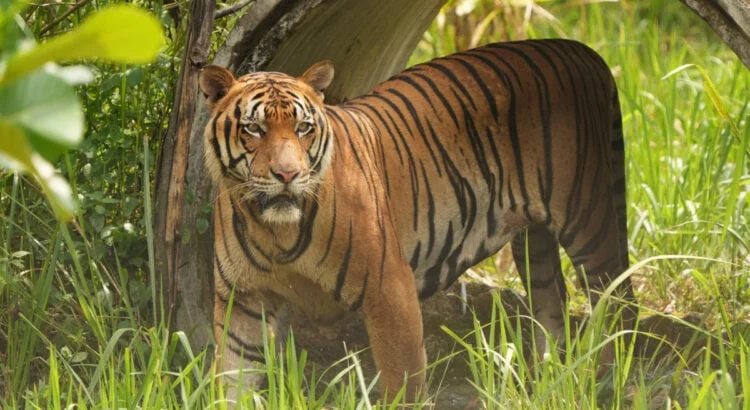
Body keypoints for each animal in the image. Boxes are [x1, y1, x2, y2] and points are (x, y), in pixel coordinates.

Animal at [199, 38, 637, 403]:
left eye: (303, 128)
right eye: (254, 128)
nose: (288, 174)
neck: (275, 230)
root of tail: (581, 51)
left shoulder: (389, 287)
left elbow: (402, 378)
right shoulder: (243, 299)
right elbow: (232, 377)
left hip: (588, 217)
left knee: (617, 299)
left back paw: (609, 382)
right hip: (535, 244)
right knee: (552, 305)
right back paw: (546, 380)